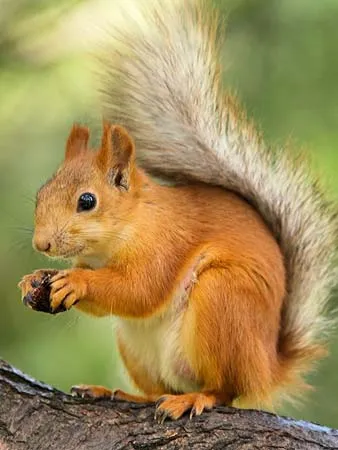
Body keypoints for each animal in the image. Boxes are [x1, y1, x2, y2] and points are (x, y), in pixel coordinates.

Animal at [19, 0, 338, 422]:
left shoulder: (165, 243)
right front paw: (35, 279)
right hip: (136, 348)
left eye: (87, 201)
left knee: (225, 390)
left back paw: (196, 397)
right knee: (160, 389)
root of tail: (267, 366)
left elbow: (140, 289)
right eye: (41, 194)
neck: (130, 226)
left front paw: (77, 281)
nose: (42, 244)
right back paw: (121, 394)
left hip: (223, 301)